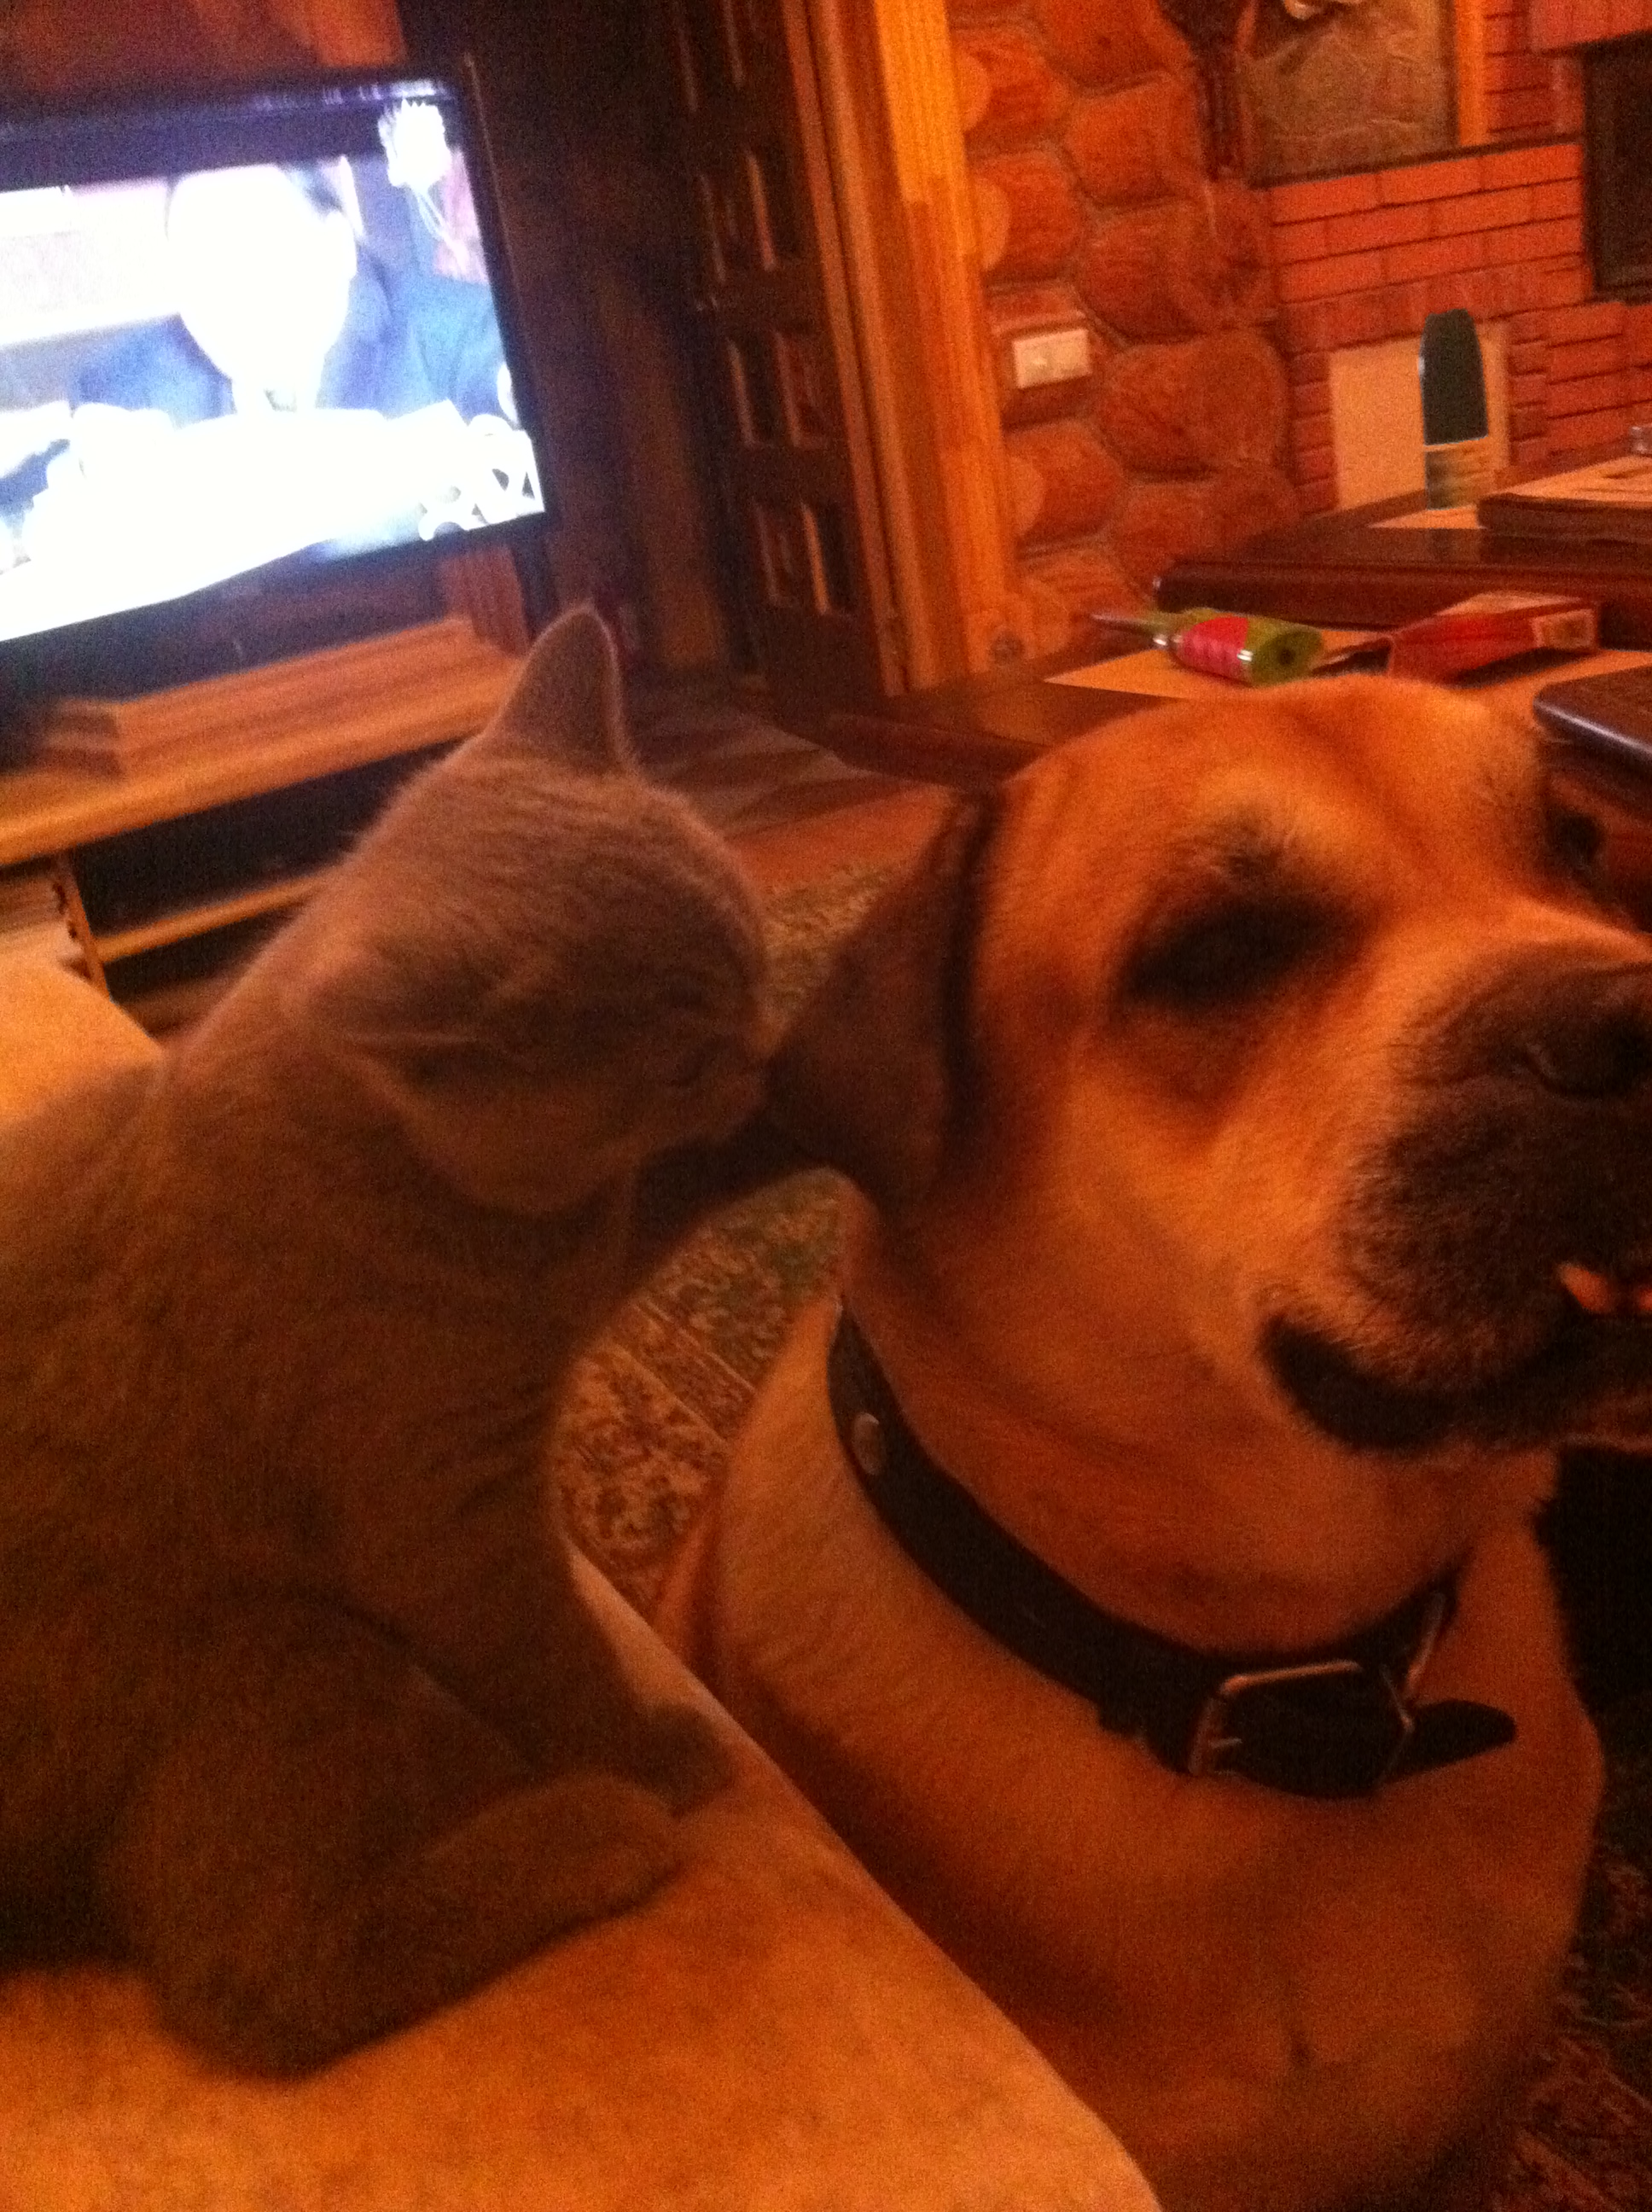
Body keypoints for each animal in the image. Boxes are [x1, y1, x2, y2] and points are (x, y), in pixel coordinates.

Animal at [0, 606, 789, 2075]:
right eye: (676, 1058)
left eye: (759, 958)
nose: (759, 1048)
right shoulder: (445, 1515)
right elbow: (547, 1653)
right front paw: (649, 1756)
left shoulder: (571, 1263)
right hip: (279, 1647)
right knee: (254, 1980)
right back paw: (597, 1831)